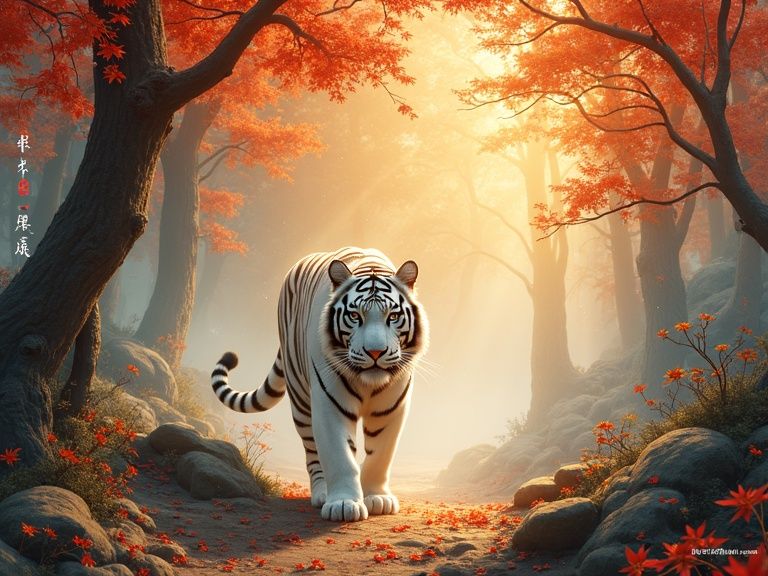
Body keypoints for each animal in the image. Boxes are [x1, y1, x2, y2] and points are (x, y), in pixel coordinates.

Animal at [211, 247, 428, 522]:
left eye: (394, 316)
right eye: (355, 316)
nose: (375, 352)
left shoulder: (390, 409)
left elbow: (380, 455)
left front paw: (377, 497)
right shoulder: (329, 402)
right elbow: (339, 455)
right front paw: (344, 504)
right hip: (301, 401)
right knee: (313, 452)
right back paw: (322, 493)